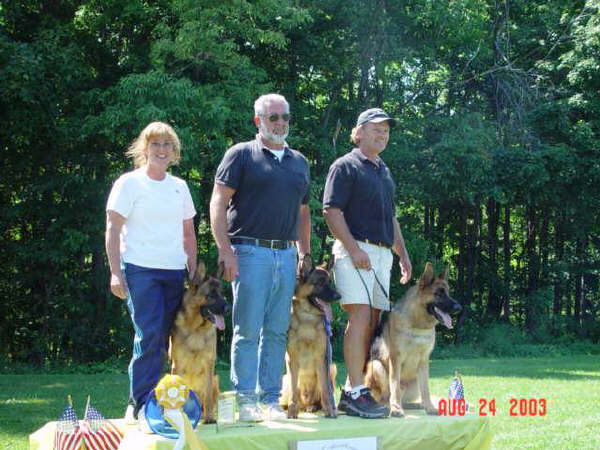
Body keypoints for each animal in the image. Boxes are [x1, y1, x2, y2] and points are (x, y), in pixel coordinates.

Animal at [169, 261, 230, 424]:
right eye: (211, 295)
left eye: (222, 293)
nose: (228, 308)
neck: (196, 328)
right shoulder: (178, 365)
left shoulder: (209, 365)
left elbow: (207, 396)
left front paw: (209, 418)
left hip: (216, 380)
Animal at [280, 258, 341, 418]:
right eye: (320, 282)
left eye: (330, 282)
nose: (339, 296)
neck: (307, 319)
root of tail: (305, 403)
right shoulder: (292, 360)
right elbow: (293, 393)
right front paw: (292, 412)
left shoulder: (321, 359)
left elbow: (326, 391)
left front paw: (329, 411)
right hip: (284, 379)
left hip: (332, 369)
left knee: (320, 397)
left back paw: (314, 407)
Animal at [365, 262, 461, 417]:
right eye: (438, 294)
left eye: (448, 293)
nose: (459, 307)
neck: (417, 325)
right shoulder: (395, 359)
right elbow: (394, 385)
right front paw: (396, 408)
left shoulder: (424, 361)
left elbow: (426, 389)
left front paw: (430, 407)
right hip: (377, 366)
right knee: (385, 397)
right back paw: (390, 406)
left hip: (414, 381)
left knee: (407, 397)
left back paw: (417, 404)